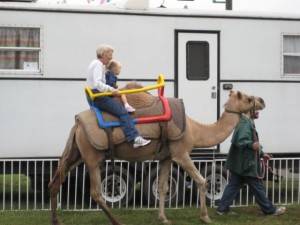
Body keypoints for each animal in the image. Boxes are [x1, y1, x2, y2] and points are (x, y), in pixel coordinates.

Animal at [48, 89, 264, 225]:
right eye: (247, 98)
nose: (262, 100)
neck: (195, 129)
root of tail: (77, 124)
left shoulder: (166, 157)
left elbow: (162, 187)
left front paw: (163, 218)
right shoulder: (181, 153)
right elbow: (201, 180)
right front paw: (205, 217)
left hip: (76, 153)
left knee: (55, 181)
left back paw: (56, 221)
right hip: (92, 158)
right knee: (96, 193)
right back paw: (118, 221)